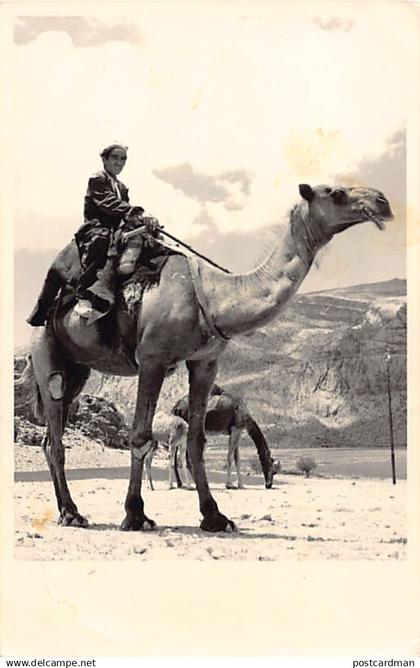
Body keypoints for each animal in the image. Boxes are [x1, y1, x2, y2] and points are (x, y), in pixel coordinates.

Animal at [27, 183, 394, 532]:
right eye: (336, 192)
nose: (383, 201)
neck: (211, 297)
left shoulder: (205, 362)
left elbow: (197, 441)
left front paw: (215, 517)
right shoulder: (152, 357)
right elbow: (140, 436)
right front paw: (135, 515)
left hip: (79, 370)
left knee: (48, 438)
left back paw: (67, 510)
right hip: (46, 352)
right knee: (56, 439)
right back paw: (72, 513)